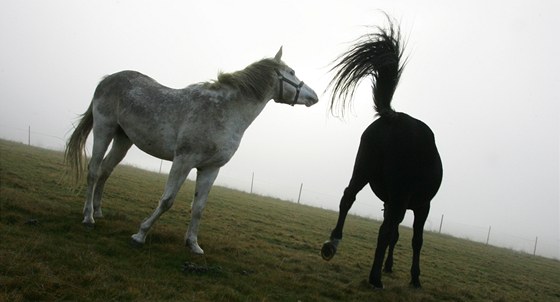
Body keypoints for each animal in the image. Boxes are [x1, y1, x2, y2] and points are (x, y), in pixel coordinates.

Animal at [65, 47, 318, 254]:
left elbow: (198, 208)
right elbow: (167, 200)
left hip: (123, 139)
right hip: (104, 129)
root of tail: (108, 79)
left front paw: (193, 244)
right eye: (292, 72)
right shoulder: (183, 161)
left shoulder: (210, 168)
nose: (313, 97)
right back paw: (88, 217)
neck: (225, 111)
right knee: (94, 171)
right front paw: (140, 234)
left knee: (106, 172)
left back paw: (98, 211)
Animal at [322, 17, 444, 290]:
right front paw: (414, 277)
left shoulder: (390, 202)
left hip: (362, 170)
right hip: (399, 195)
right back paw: (375, 277)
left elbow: (396, 234)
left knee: (348, 198)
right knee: (384, 231)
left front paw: (391, 266)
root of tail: (393, 115)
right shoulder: (420, 206)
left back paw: (332, 244)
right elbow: (414, 239)